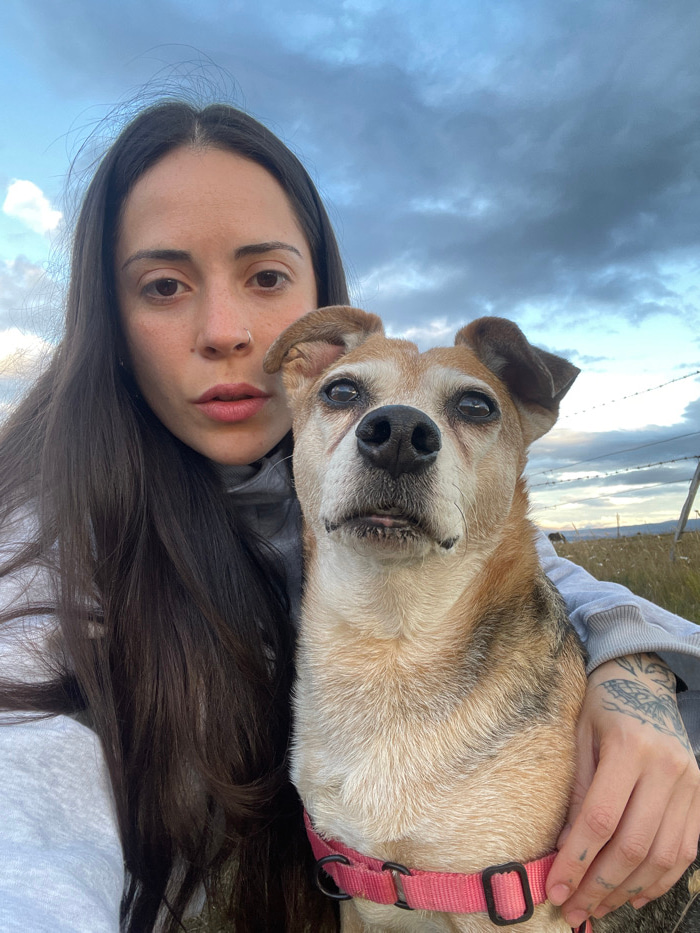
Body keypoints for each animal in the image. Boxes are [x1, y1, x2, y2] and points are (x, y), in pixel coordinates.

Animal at [264, 307, 699, 932]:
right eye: (340, 392)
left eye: (476, 406)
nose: (399, 433)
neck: (392, 643)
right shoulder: (355, 890)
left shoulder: (510, 895)